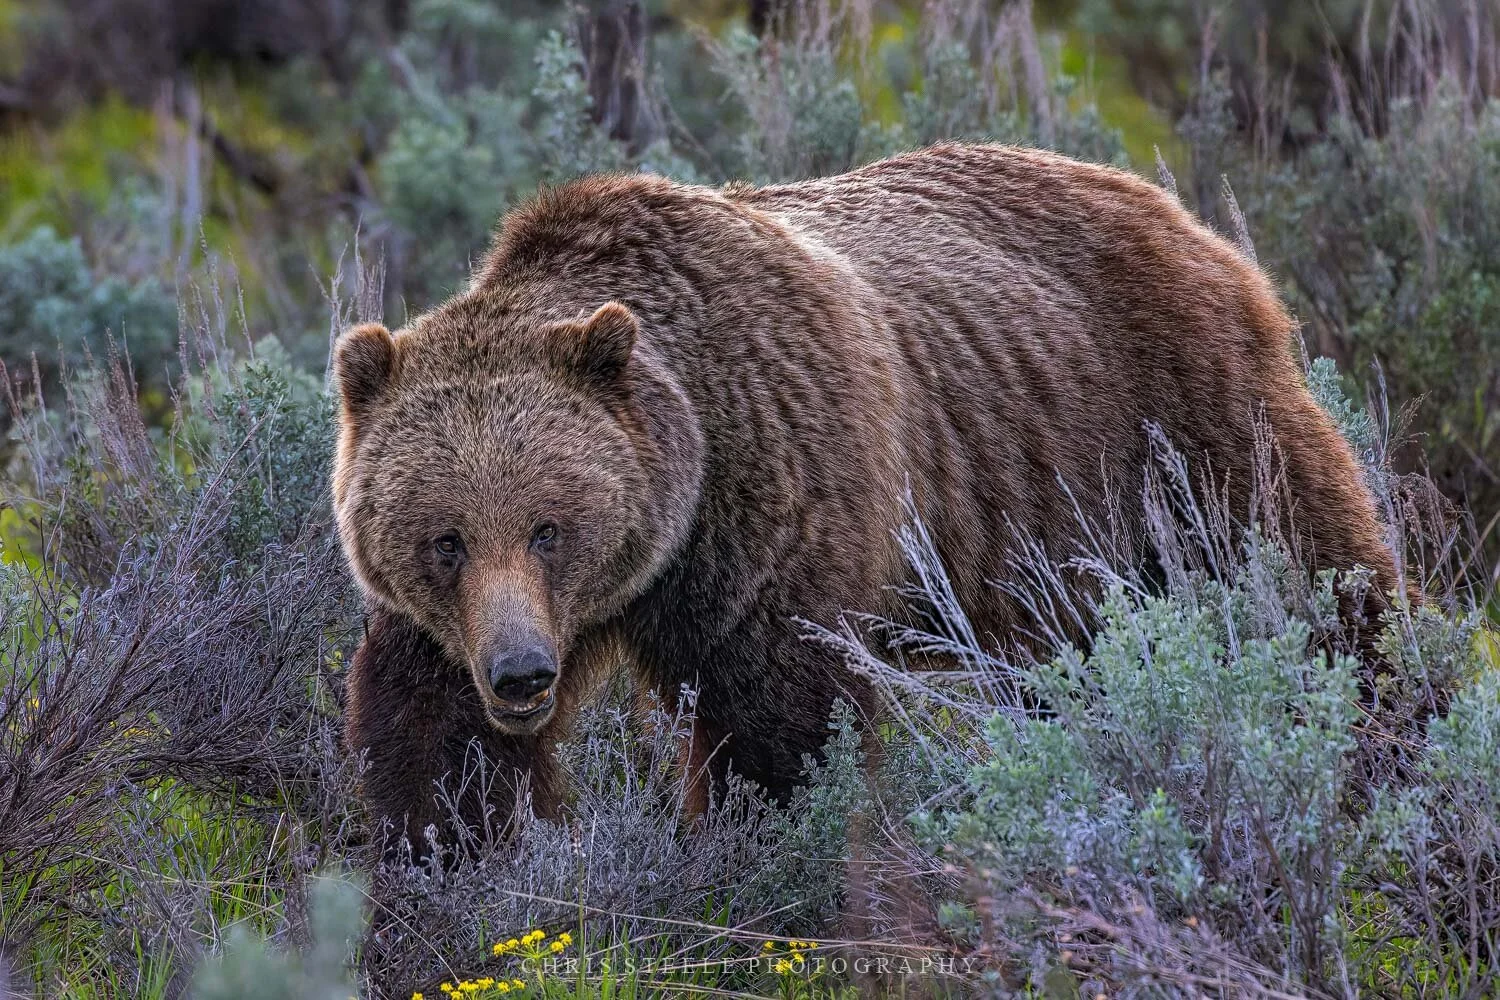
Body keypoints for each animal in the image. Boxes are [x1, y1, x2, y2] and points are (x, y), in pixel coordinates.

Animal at [332, 141, 1402, 853]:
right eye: (446, 539)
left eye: (550, 528)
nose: (521, 673)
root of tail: (1191, 221)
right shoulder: (465, 620)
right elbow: (435, 734)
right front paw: (449, 851)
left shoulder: (777, 493)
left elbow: (783, 722)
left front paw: (754, 853)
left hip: (1177, 423)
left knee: (1311, 582)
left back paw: (1379, 744)